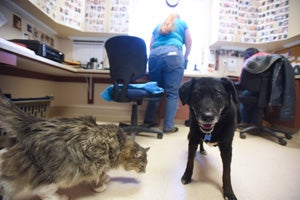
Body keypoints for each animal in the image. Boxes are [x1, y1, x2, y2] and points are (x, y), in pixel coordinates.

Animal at [0, 91, 149, 200]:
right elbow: (99, 177)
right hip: (58, 173)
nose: (144, 172)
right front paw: (100, 187)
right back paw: (60, 197)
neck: (120, 144)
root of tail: (33, 123)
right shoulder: (99, 164)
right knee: (41, 190)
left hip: (21, 168)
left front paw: (106, 180)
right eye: (142, 166)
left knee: (6, 184)